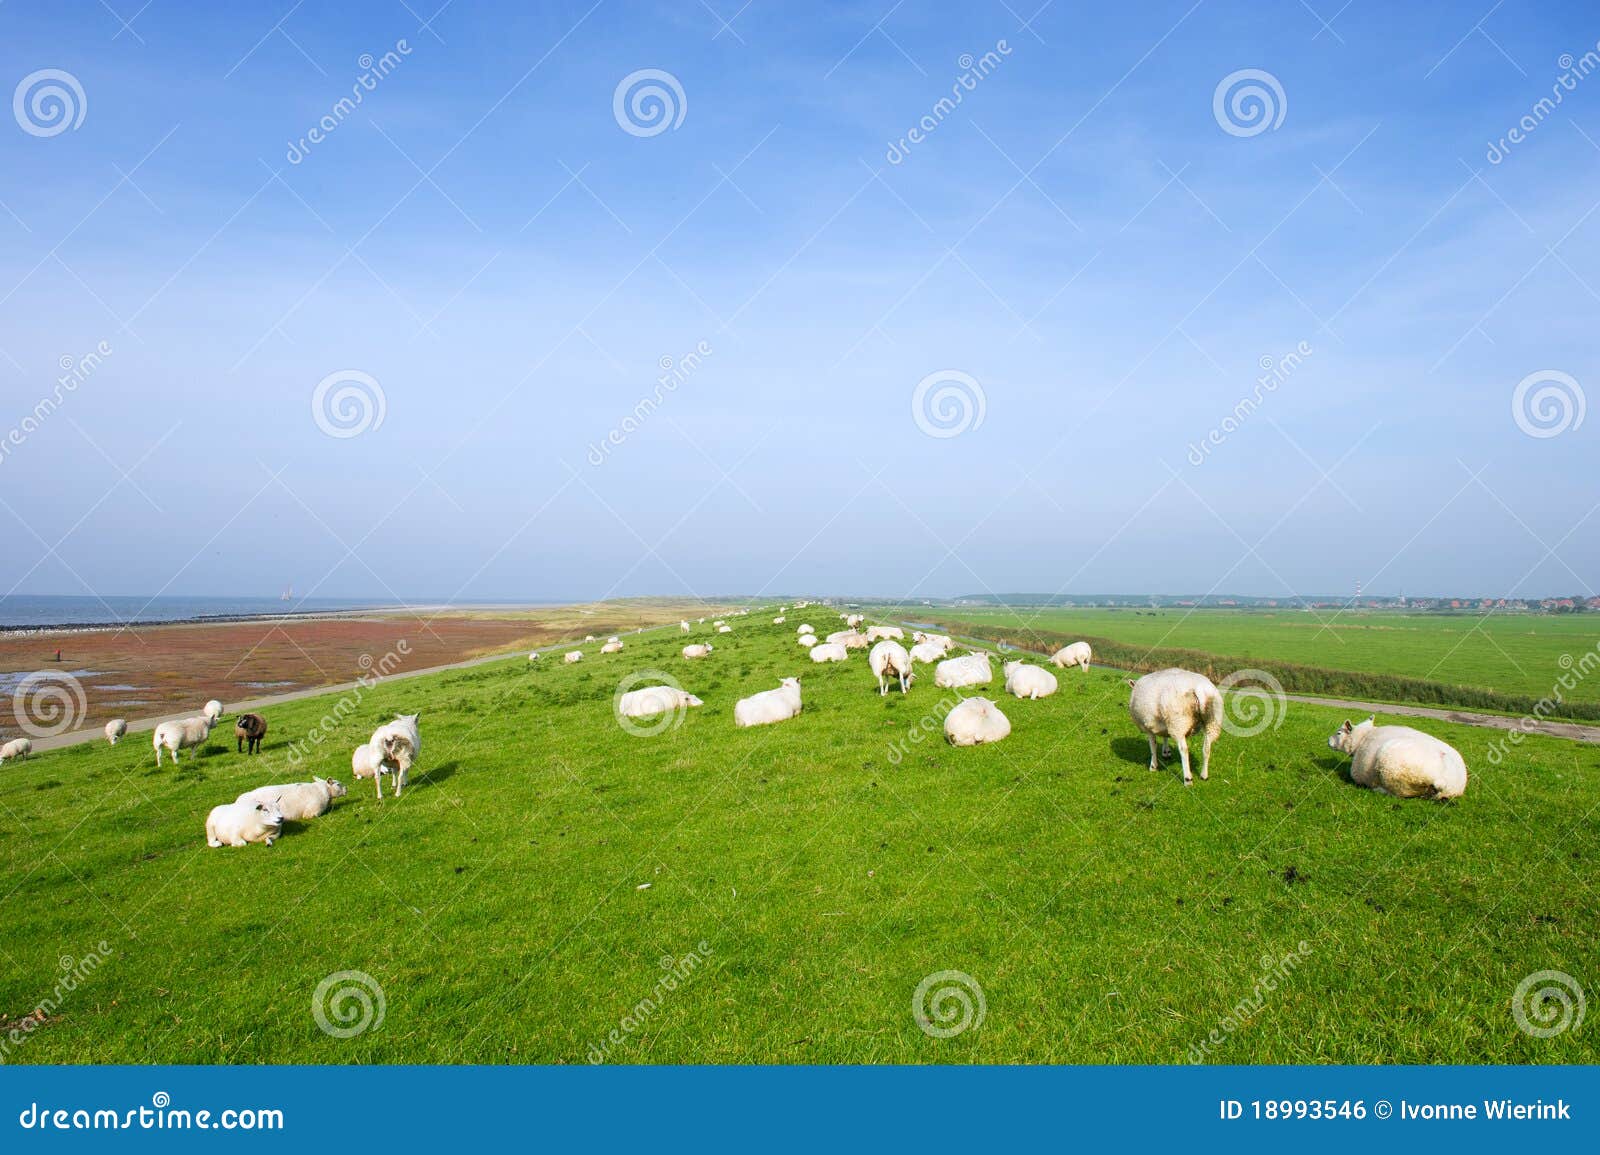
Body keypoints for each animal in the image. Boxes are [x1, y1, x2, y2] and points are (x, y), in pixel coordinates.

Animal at [1318, 716, 1465, 796]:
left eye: (1339, 733)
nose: (1328, 741)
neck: (1363, 738)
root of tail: (1441, 779)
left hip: (1394, 773)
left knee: (1400, 792)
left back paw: (1378, 789)